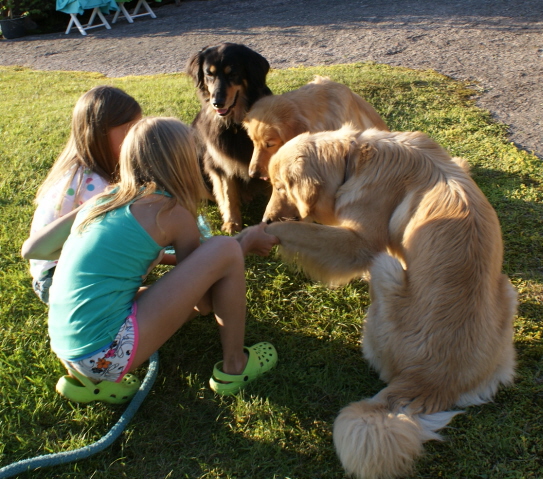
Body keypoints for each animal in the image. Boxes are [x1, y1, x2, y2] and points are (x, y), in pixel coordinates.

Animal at [188, 42, 274, 233]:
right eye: (209, 74)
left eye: (232, 73)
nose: (217, 103)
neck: (237, 125)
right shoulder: (219, 163)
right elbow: (228, 195)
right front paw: (232, 223)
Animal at [264, 125, 520, 478]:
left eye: (279, 186)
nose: (265, 220)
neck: (353, 159)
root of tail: (432, 383)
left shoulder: (358, 244)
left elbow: (299, 231)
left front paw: (250, 236)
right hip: (507, 290)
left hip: (384, 269)